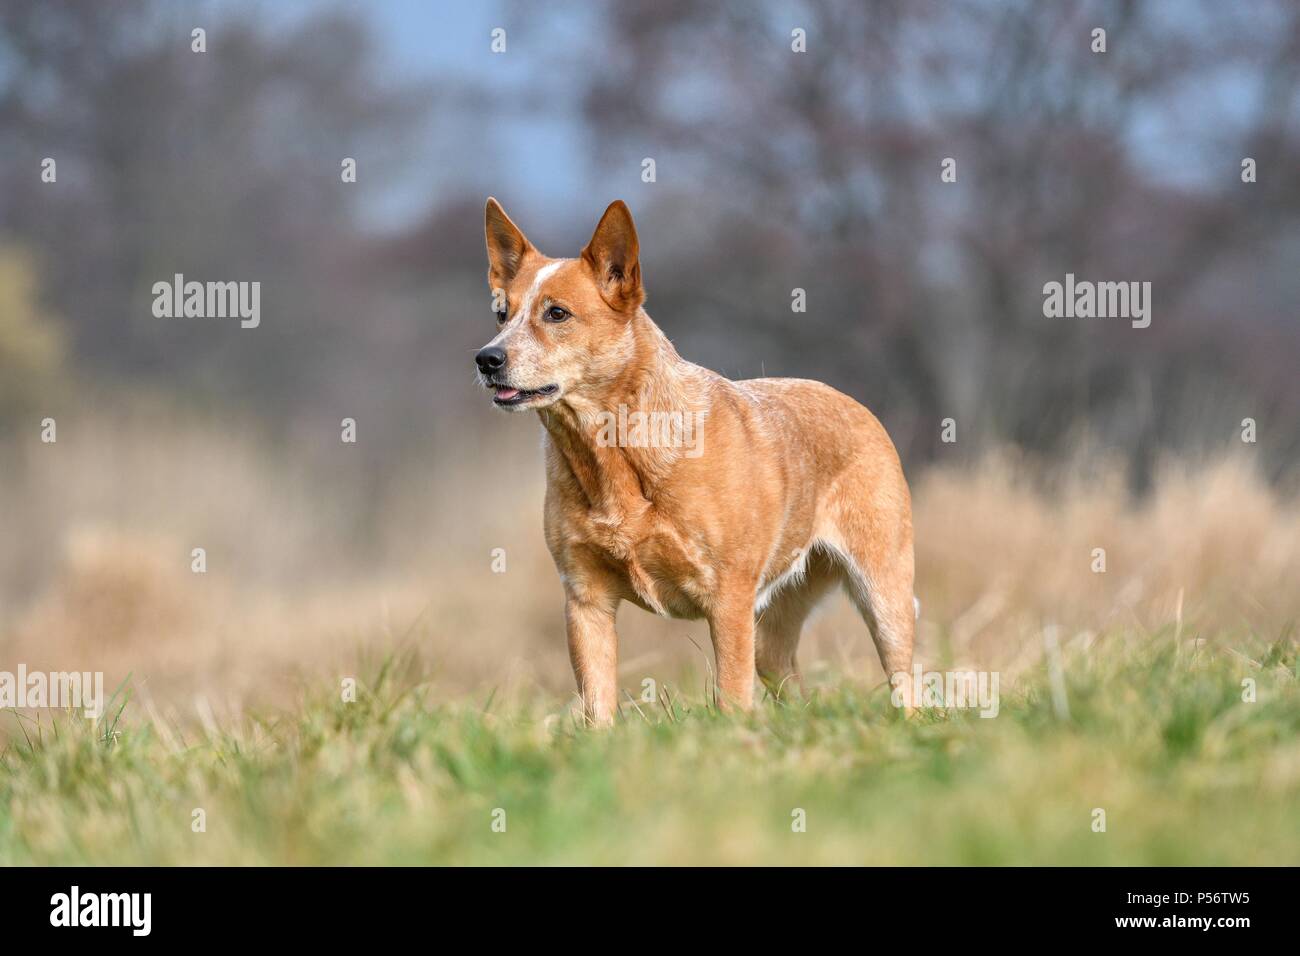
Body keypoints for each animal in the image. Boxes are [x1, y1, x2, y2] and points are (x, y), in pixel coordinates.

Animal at [478, 201, 915, 723]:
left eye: (557, 313)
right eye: (501, 314)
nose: (486, 358)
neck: (612, 456)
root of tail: (857, 404)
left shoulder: (727, 597)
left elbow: (730, 695)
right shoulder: (585, 598)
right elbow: (597, 705)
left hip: (883, 593)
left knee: (907, 679)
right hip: (772, 630)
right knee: (788, 678)